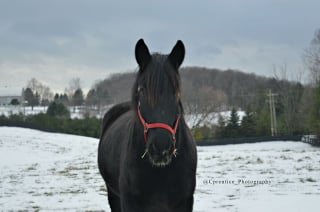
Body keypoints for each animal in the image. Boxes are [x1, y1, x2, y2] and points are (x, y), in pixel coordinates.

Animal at [97, 39, 198, 212]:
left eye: (176, 92)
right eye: (142, 90)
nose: (161, 147)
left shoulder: (185, 202)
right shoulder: (129, 202)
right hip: (113, 194)